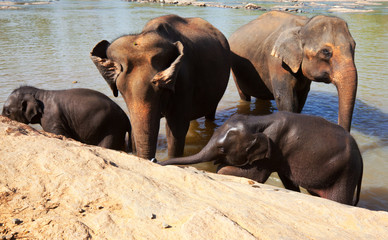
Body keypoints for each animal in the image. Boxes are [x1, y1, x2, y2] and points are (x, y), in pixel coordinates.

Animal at [1, 85, 132, 151]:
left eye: (8, 112)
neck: (39, 93)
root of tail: (126, 118)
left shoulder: (51, 118)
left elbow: (61, 134)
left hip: (112, 127)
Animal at [90, 15, 230, 159]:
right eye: (121, 91)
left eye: (161, 90)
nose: (154, 160)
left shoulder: (183, 81)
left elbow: (176, 129)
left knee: (210, 112)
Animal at [160, 111, 364, 205]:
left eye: (222, 149)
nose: (156, 161)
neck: (258, 120)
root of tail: (361, 159)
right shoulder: (281, 156)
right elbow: (287, 179)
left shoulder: (273, 149)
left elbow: (255, 176)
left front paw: (221, 168)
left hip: (345, 172)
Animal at [229, 10, 360, 131]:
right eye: (326, 52)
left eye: (354, 46)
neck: (304, 25)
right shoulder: (277, 62)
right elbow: (287, 99)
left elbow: (302, 97)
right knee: (244, 95)